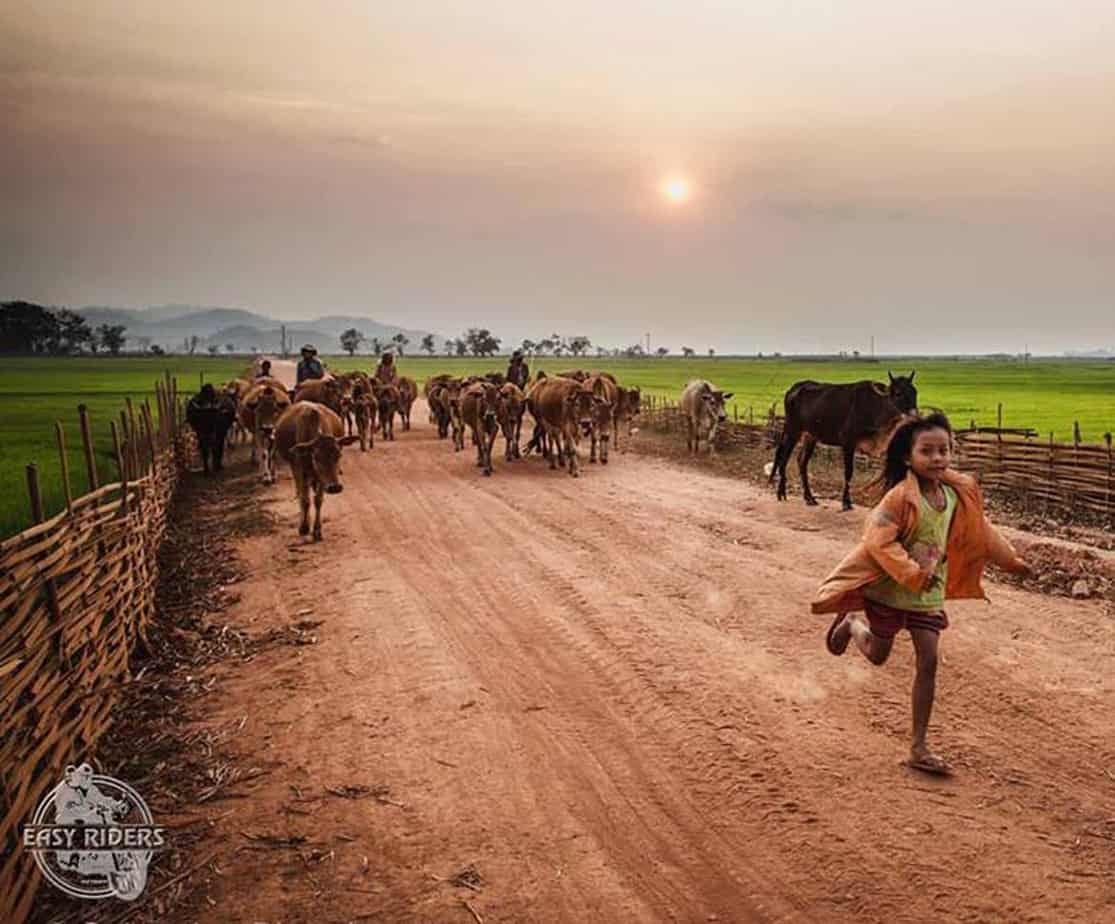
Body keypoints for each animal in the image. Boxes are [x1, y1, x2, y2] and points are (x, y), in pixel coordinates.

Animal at [272, 403, 354, 541]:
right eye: (316, 457)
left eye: (339, 455)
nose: (335, 487)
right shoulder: (301, 471)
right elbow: (305, 500)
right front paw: (304, 527)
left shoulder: (321, 479)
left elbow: (318, 500)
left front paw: (317, 530)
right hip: (295, 469)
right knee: (301, 494)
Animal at [771, 370, 918, 512]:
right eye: (898, 393)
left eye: (914, 392)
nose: (914, 415)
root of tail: (795, 387)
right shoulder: (848, 442)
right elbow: (848, 472)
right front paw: (846, 502)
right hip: (793, 430)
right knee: (784, 457)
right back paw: (781, 493)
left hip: (810, 436)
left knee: (801, 461)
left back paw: (809, 498)